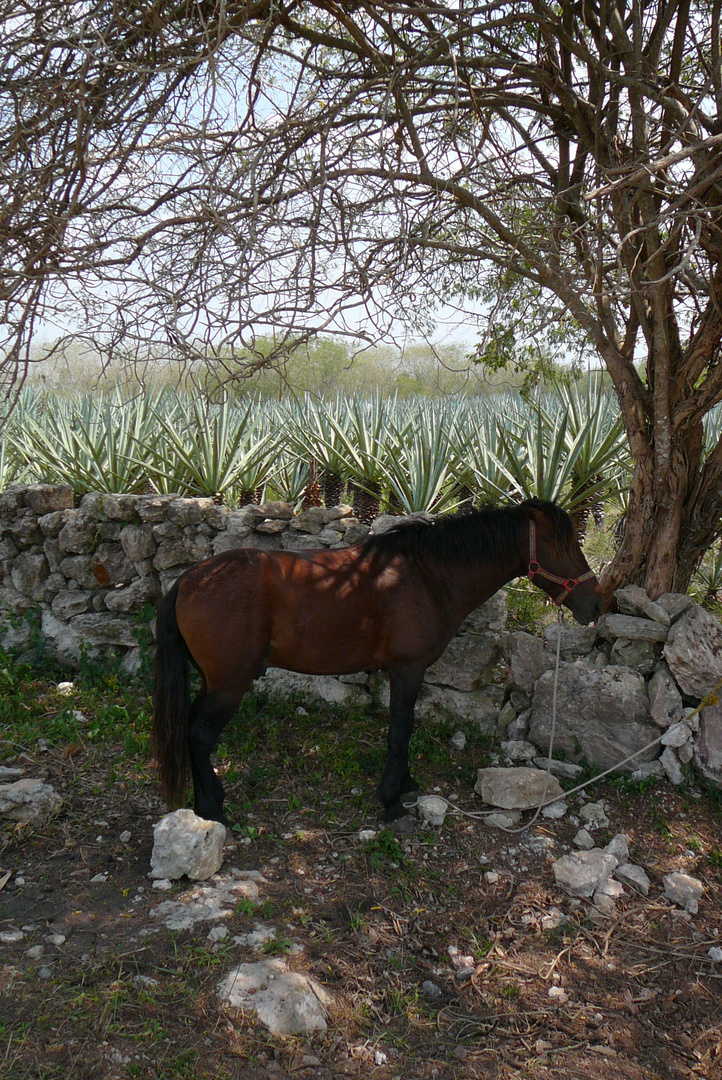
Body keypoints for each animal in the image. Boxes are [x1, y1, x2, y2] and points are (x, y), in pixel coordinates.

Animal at [152, 501, 604, 820]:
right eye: (561, 544)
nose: (597, 603)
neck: (428, 576)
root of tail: (189, 579)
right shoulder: (407, 670)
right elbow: (399, 731)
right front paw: (392, 801)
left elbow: (403, 729)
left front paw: (405, 785)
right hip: (229, 685)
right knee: (200, 735)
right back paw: (212, 810)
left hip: (213, 682)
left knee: (191, 730)